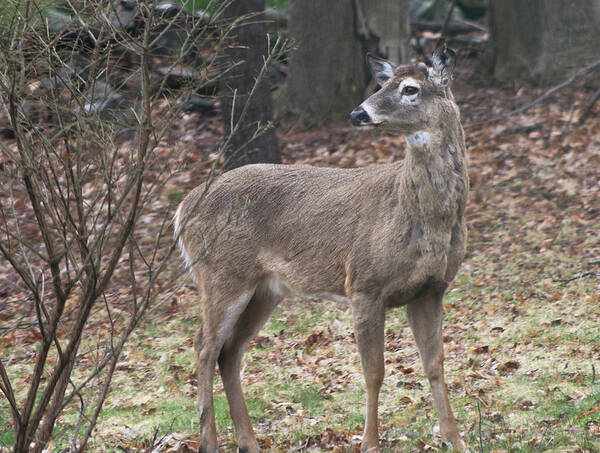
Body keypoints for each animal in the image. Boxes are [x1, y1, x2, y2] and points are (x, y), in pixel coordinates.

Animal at [173, 40, 468, 450]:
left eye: (410, 88)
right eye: (383, 83)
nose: (358, 112)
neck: (419, 215)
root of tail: (183, 208)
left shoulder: (431, 288)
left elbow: (435, 365)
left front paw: (455, 440)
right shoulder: (363, 282)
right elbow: (374, 372)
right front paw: (369, 443)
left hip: (265, 289)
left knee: (228, 352)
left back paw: (249, 442)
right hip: (220, 274)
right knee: (203, 346)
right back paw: (210, 442)